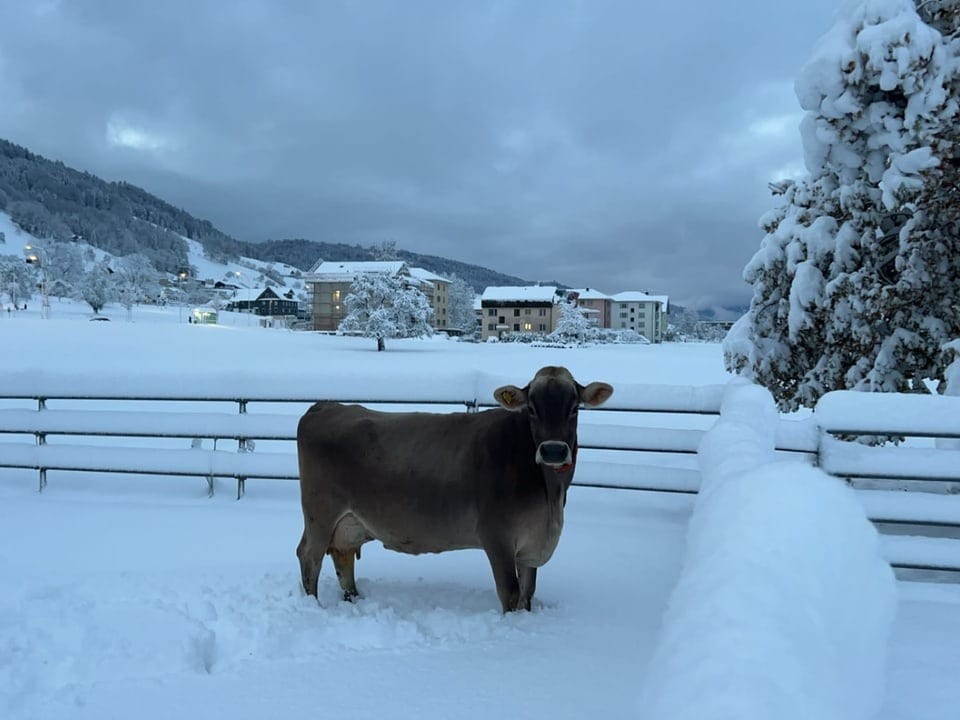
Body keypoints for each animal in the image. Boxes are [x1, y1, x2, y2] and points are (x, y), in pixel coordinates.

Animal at [294, 366, 616, 612]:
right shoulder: (497, 537)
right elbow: (510, 594)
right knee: (309, 556)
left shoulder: (529, 543)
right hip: (320, 514)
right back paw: (314, 607)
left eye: (574, 408)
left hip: (349, 523)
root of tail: (327, 406)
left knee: (342, 555)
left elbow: (528, 593)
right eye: (532, 409)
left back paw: (354, 600)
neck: (550, 496)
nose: (553, 451)